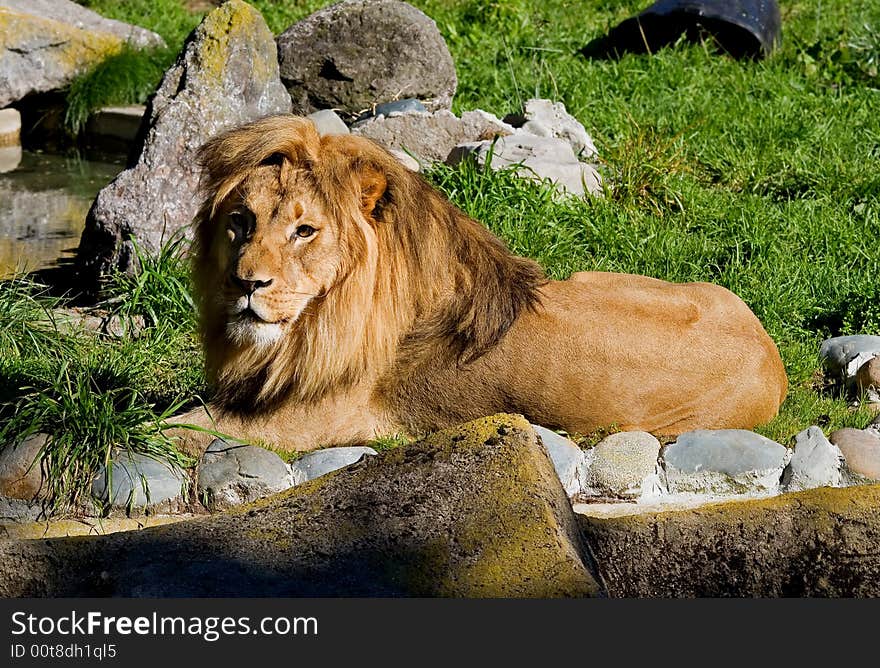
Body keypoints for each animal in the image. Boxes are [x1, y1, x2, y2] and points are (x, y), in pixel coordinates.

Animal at [170, 115, 784, 456]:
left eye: (304, 231)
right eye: (242, 221)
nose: (245, 283)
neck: (314, 322)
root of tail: (772, 355)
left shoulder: (315, 420)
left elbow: (183, 423)